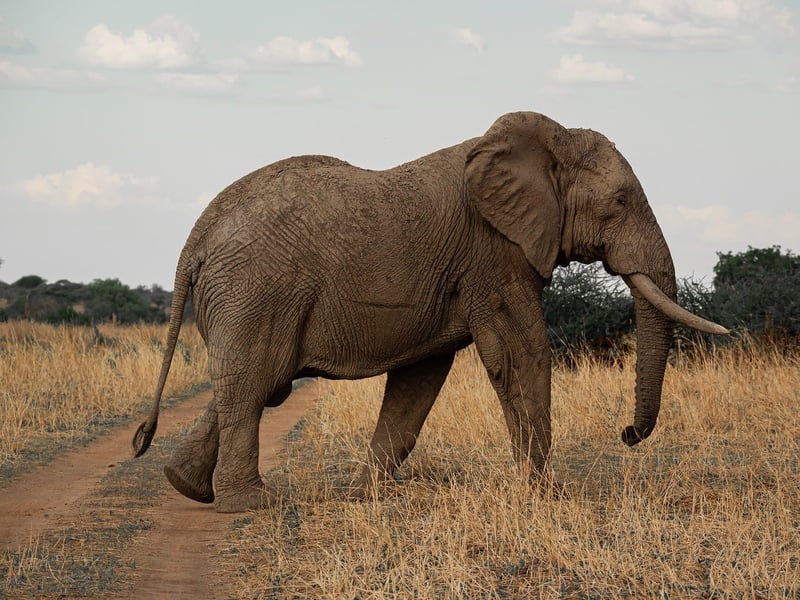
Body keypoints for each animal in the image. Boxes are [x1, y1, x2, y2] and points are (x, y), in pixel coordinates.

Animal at [133, 111, 728, 513]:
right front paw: (547, 495)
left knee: (250, 382)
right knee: (254, 384)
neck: (543, 143)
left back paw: (185, 485)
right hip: (256, 290)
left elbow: (421, 378)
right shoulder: (494, 256)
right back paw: (253, 504)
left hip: (244, 296)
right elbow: (523, 355)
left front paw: (368, 495)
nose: (626, 433)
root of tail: (197, 237)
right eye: (620, 203)